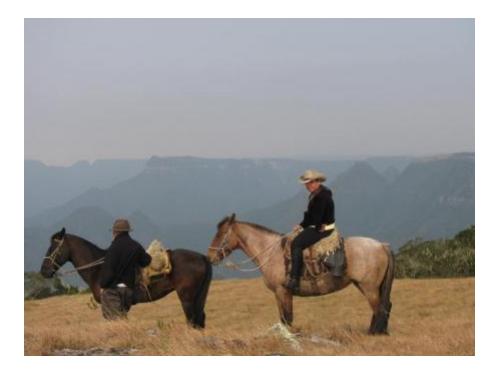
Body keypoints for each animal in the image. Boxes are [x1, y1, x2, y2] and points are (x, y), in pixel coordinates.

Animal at [39, 226, 211, 328]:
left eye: (53, 247)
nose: (43, 271)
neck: (98, 268)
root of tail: (202, 257)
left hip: (187, 298)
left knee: (192, 320)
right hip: (198, 297)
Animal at [207, 214, 394, 334]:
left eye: (221, 234)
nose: (210, 257)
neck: (271, 252)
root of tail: (382, 245)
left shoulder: (283, 291)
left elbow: (287, 317)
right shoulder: (278, 293)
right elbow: (283, 318)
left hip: (369, 287)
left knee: (379, 308)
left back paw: (375, 333)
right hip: (368, 286)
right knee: (383, 307)